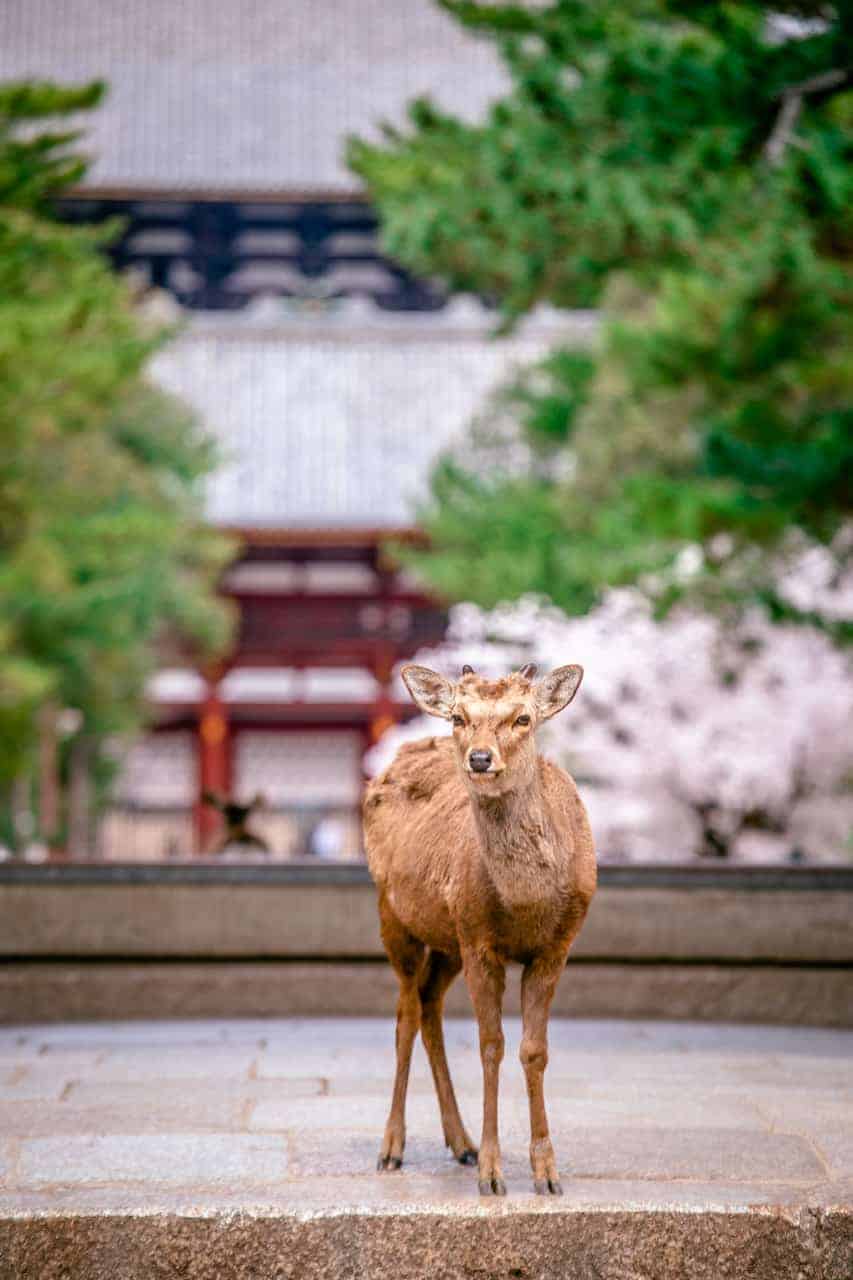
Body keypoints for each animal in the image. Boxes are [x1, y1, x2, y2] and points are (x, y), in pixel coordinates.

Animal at [363, 661, 596, 1197]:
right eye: (458, 716)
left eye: (523, 717)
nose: (481, 757)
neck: (524, 900)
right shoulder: (480, 942)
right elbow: (492, 1046)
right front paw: (493, 1173)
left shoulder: (556, 946)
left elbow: (534, 1051)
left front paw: (546, 1172)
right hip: (396, 916)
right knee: (406, 1014)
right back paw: (393, 1147)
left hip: (448, 938)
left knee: (430, 1003)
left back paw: (460, 1142)